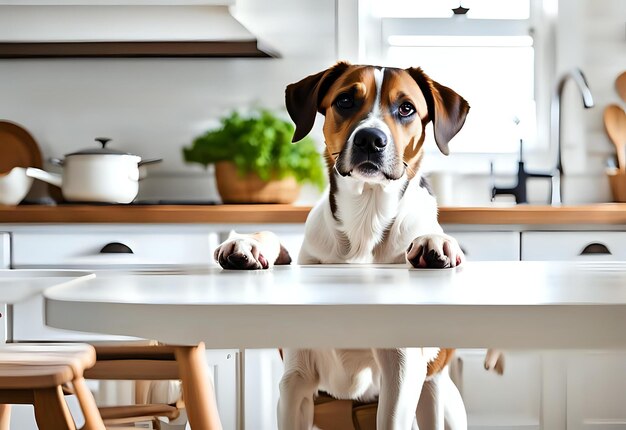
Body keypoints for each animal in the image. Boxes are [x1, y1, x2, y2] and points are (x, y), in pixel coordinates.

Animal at [212, 61, 470, 430]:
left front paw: (435, 241)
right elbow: (274, 239)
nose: (370, 139)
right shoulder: (295, 381)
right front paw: (247, 245)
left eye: (406, 108)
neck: (367, 217)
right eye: (345, 100)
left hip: (438, 397)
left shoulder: (400, 373)